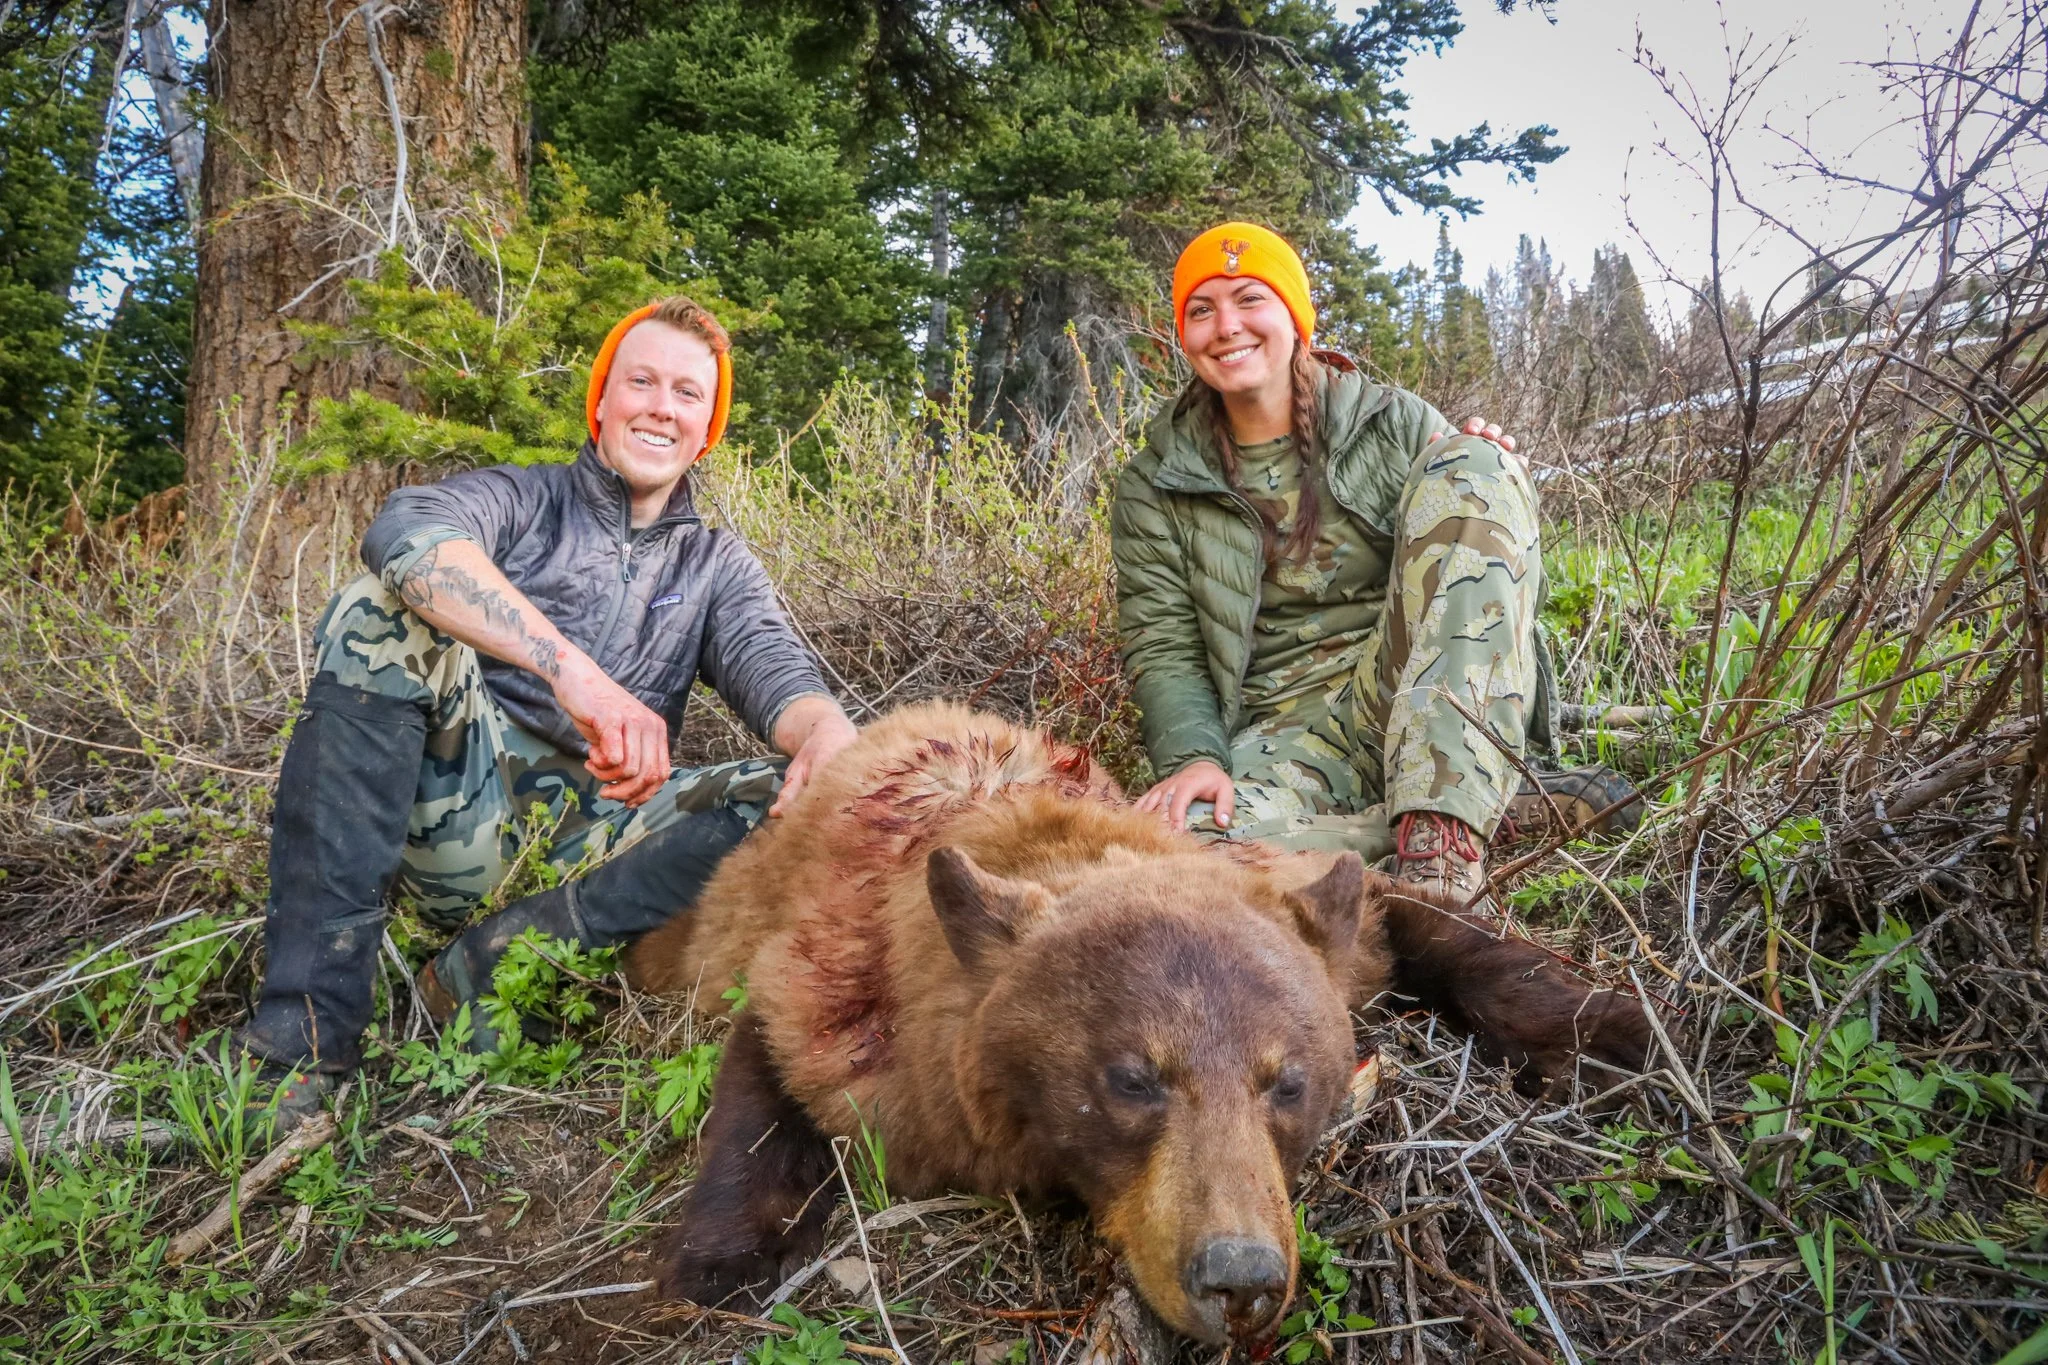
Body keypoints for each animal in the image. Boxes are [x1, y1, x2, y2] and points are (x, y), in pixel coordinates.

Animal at [626, 701, 1654, 1345]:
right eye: (1132, 1078)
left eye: (1288, 1082)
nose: (1241, 1278)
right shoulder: (849, 995)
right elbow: (765, 1058)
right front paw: (719, 1261)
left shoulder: (1289, 890)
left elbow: (1415, 919)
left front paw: (1608, 1031)